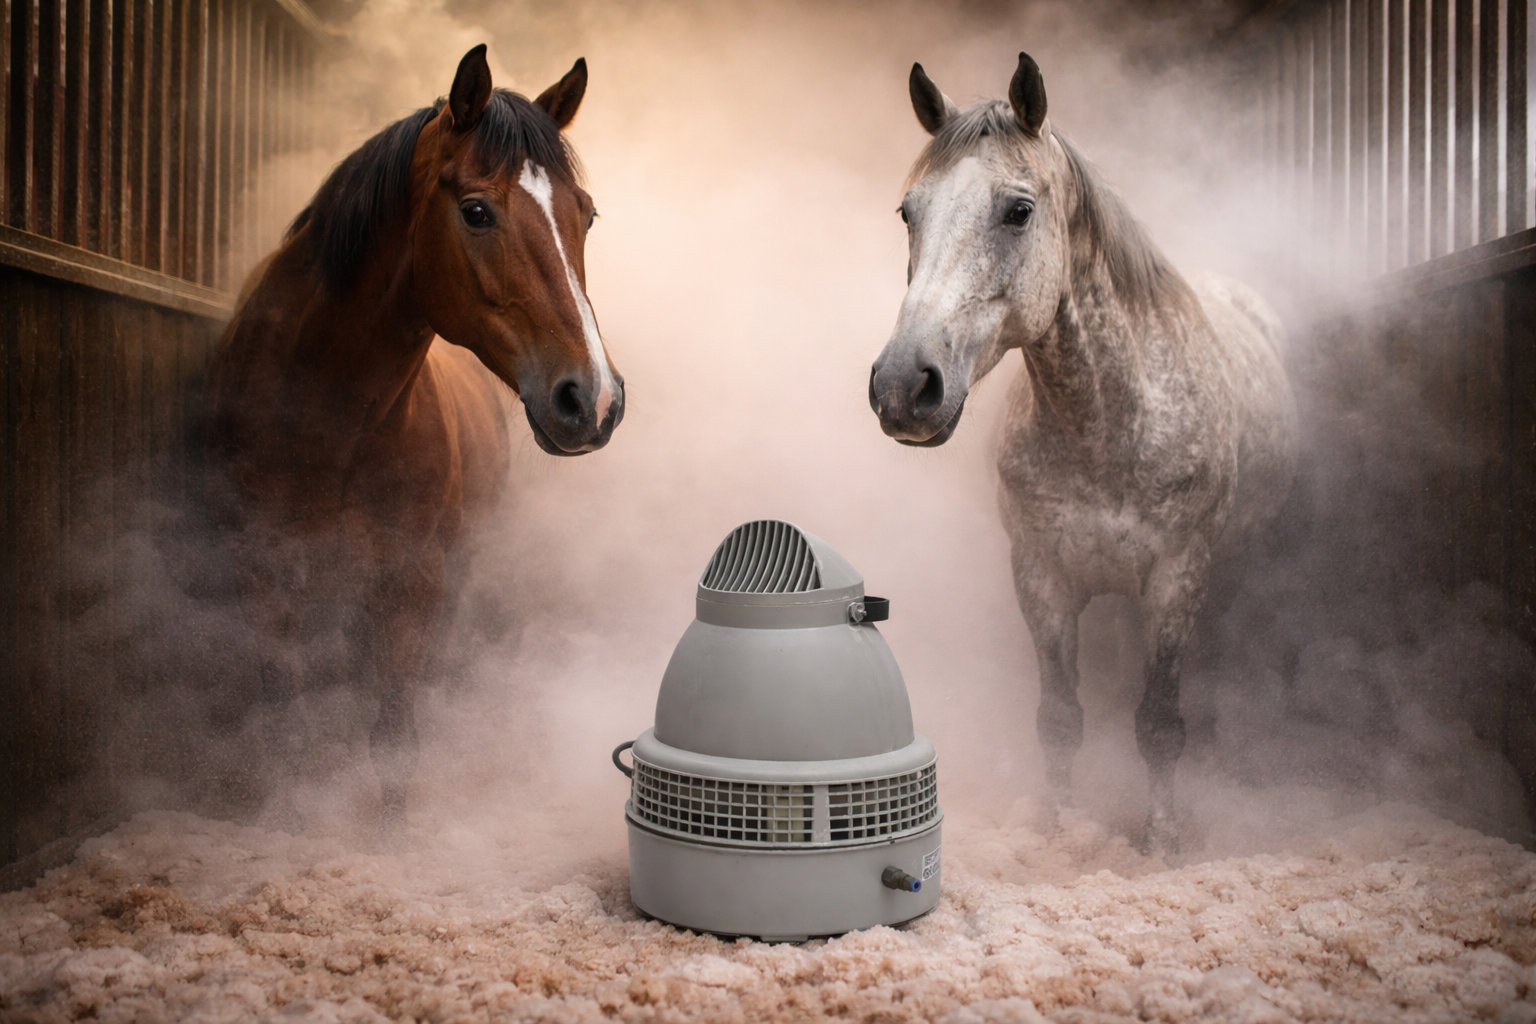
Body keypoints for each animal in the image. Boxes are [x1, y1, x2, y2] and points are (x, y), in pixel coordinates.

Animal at [202, 45, 624, 829]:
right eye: (477, 211)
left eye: (586, 215)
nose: (595, 399)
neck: (326, 418)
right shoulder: (262, 569)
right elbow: (282, 711)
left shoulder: (413, 576)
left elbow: (394, 724)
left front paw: (391, 832)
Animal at [868, 52, 1296, 853]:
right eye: (909, 213)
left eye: (1018, 211)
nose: (905, 386)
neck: (1107, 424)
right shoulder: (1042, 577)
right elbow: (1060, 718)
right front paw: (1059, 829)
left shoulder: (1176, 579)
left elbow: (1159, 722)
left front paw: (1160, 839)